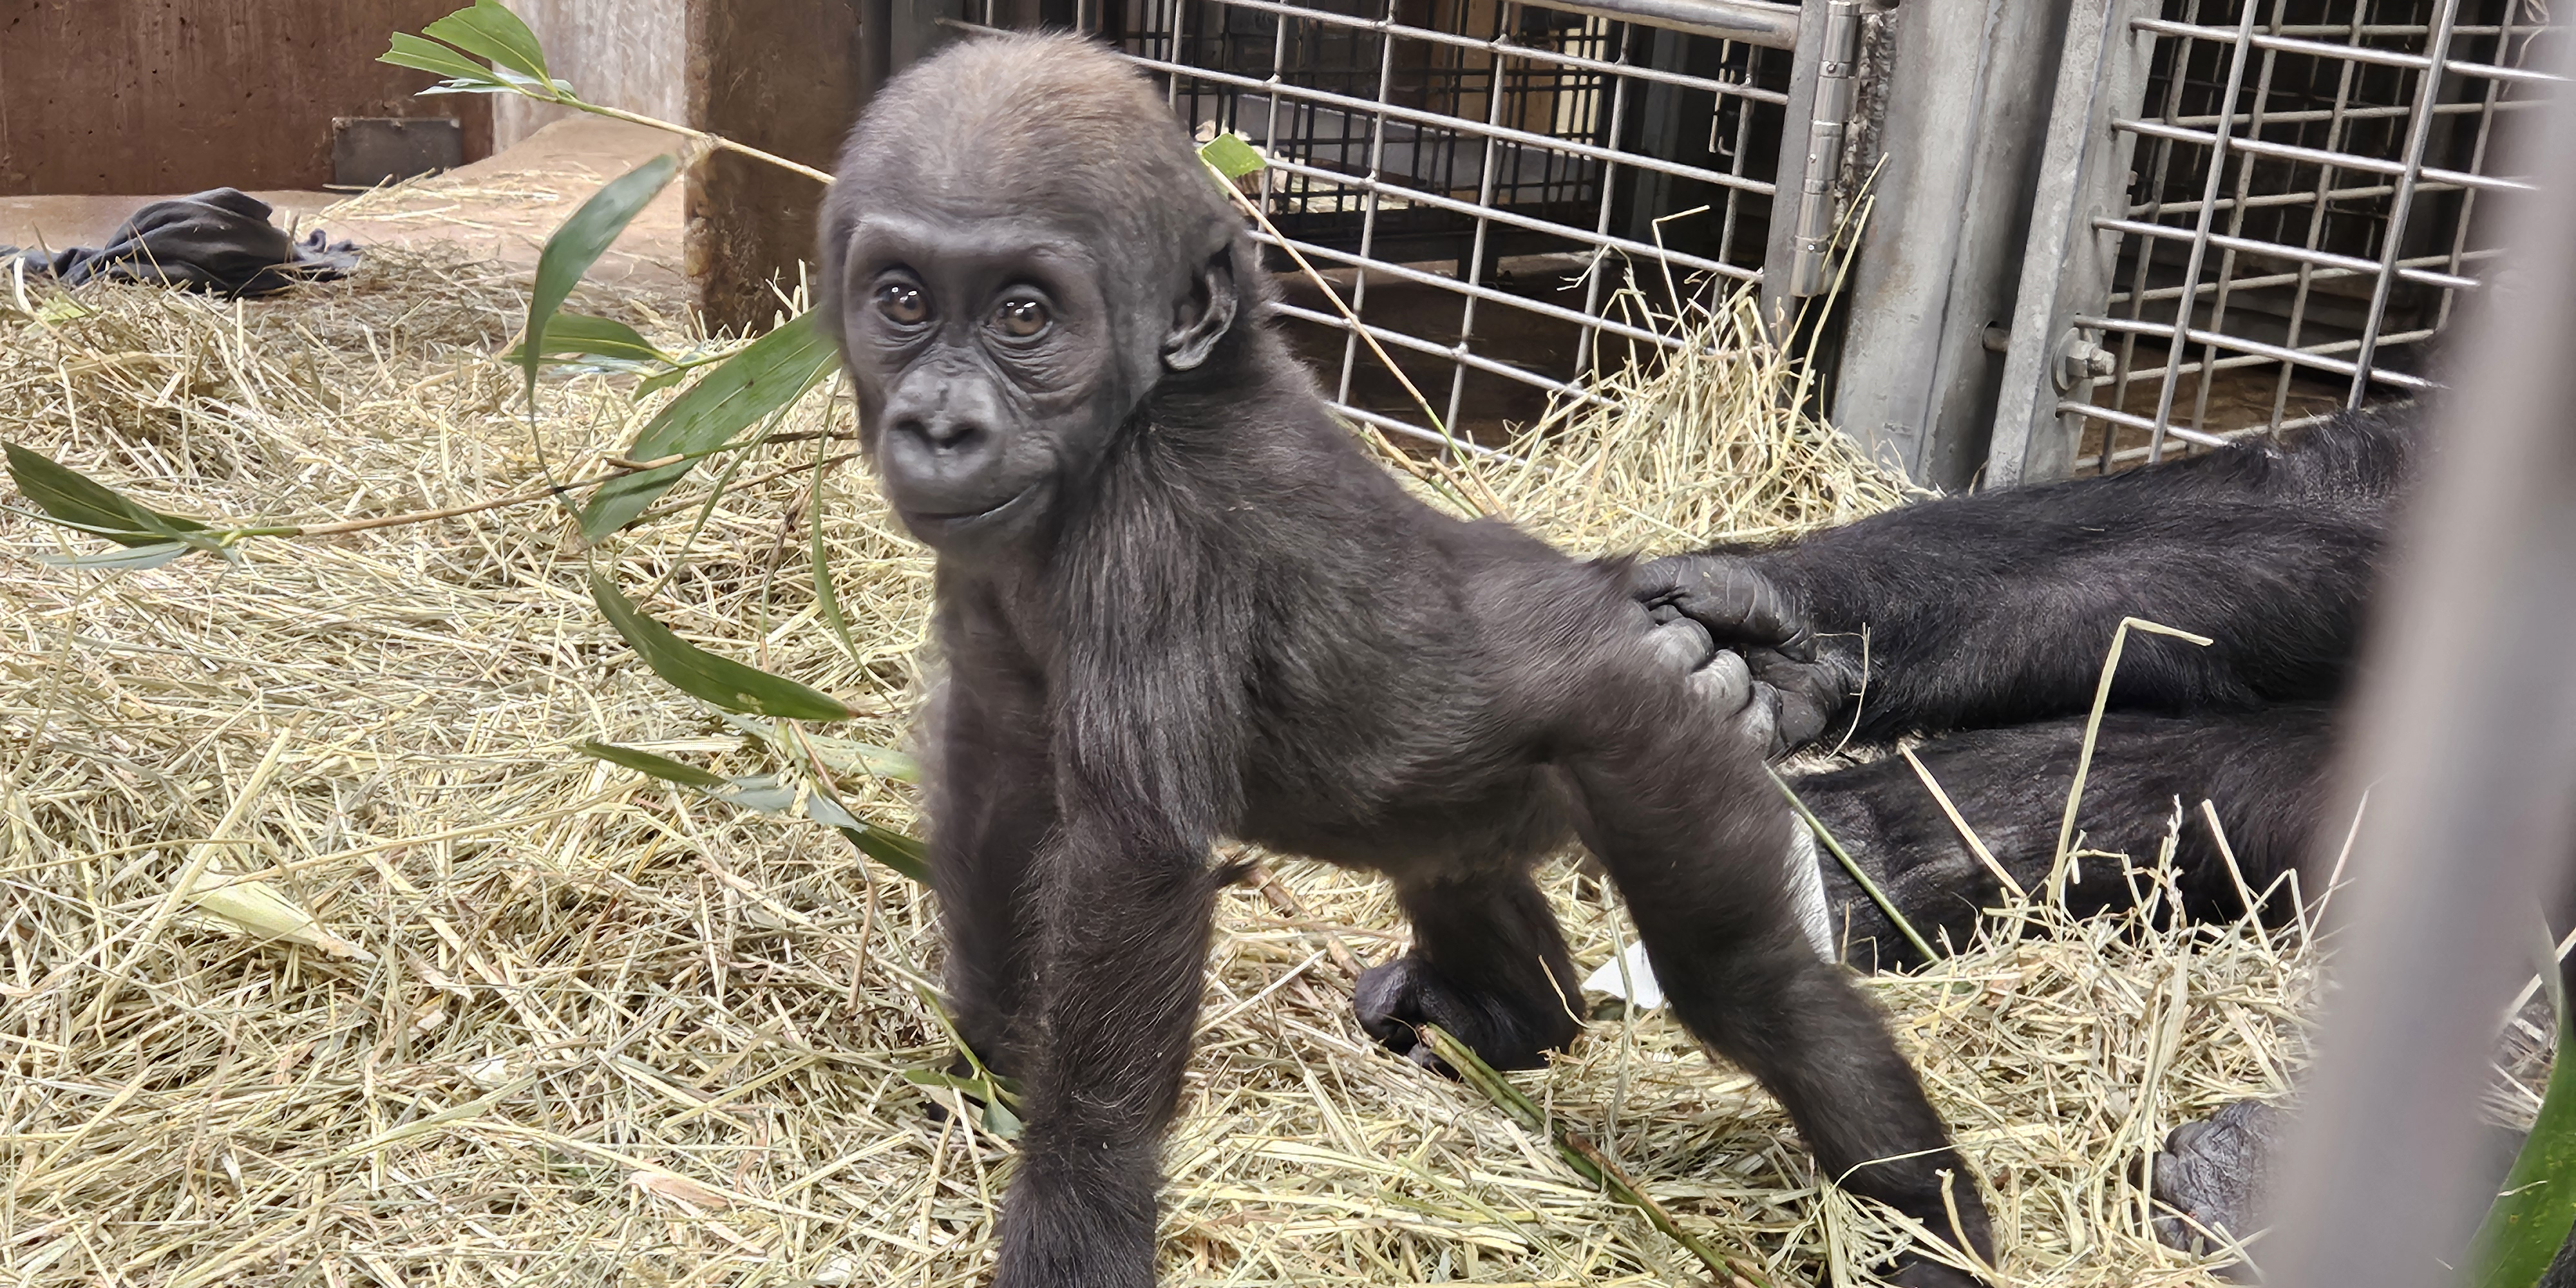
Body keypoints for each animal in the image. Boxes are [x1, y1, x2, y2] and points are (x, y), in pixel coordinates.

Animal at [824, 32, 1989, 1288]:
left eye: (1025, 317)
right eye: (902, 300)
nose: (941, 427)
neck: (1155, 404)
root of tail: (1635, 605)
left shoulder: (1158, 536)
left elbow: (1130, 865)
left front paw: (1077, 1204)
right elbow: (996, 772)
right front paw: (986, 1050)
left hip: (1652, 737)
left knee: (1756, 988)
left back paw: (1934, 1222)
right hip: (1492, 795)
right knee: (1465, 886)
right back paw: (1515, 1020)